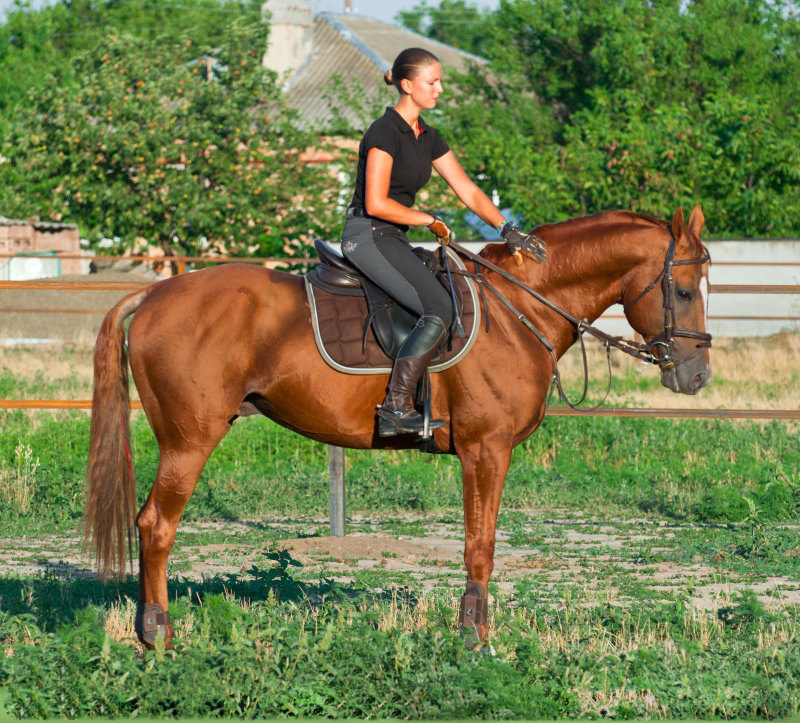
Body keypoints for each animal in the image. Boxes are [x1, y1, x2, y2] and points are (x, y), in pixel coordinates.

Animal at [86, 205, 712, 652]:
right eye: (682, 292)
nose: (697, 374)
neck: (518, 308)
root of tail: (153, 294)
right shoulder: (486, 451)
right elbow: (480, 546)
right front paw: (475, 641)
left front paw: (476, 634)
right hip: (190, 440)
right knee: (156, 525)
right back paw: (158, 635)